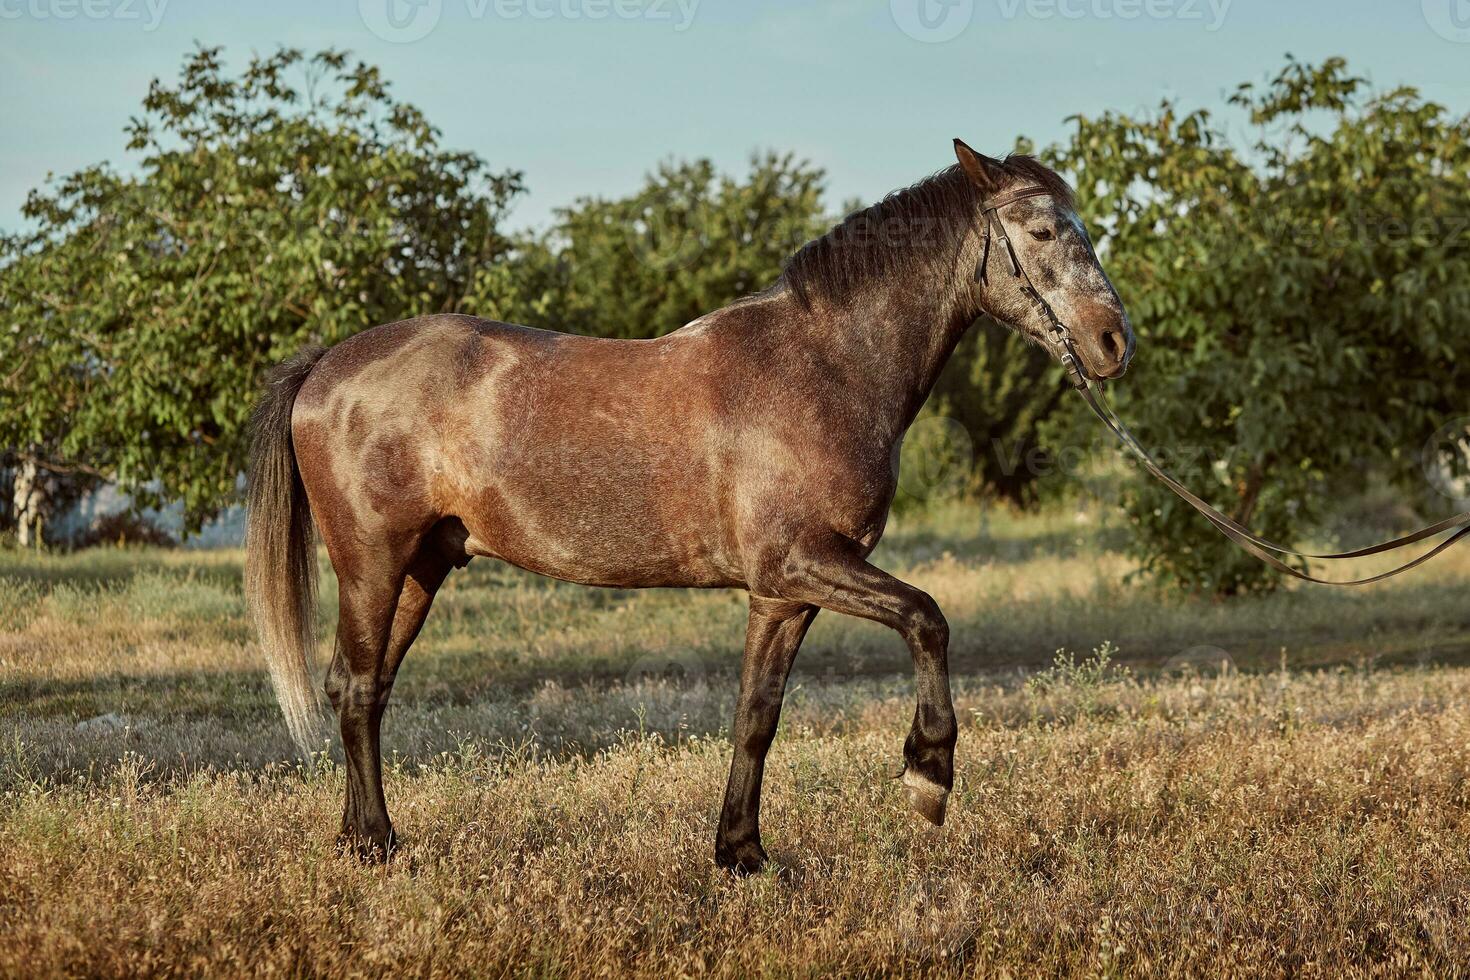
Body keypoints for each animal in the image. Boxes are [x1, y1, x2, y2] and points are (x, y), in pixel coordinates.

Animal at [244, 138, 1134, 875]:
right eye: (1044, 232)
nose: (1114, 342)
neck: (823, 366)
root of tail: (327, 365)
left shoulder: (784, 594)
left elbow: (756, 717)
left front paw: (741, 852)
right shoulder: (807, 564)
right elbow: (929, 619)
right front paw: (928, 776)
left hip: (423, 566)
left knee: (362, 687)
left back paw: (362, 837)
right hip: (373, 562)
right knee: (360, 687)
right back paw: (374, 846)